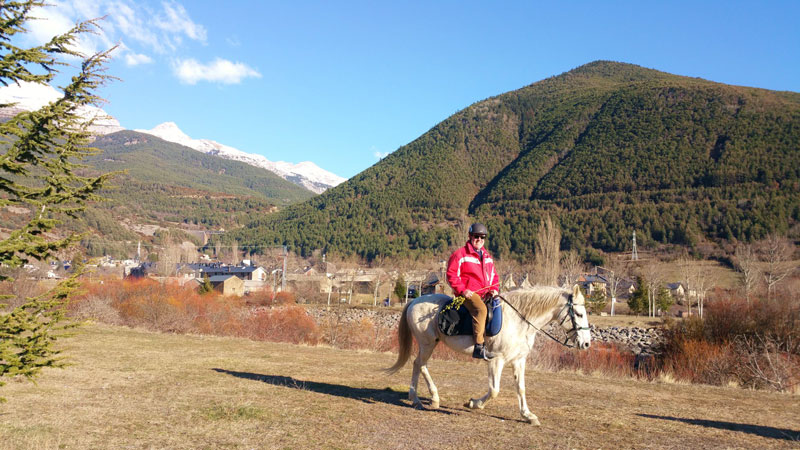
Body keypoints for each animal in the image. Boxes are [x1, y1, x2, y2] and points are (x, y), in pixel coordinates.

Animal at [384, 284, 592, 426]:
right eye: (579, 314)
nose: (586, 343)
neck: (519, 320)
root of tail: (414, 301)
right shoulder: (496, 360)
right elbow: (494, 390)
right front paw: (474, 404)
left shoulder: (519, 360)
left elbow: (521, 388)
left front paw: (527, 415)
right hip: (427, 344)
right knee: (418, 364)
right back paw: (417, 399)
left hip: (431, 344)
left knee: (421, 365)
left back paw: (432, 398)